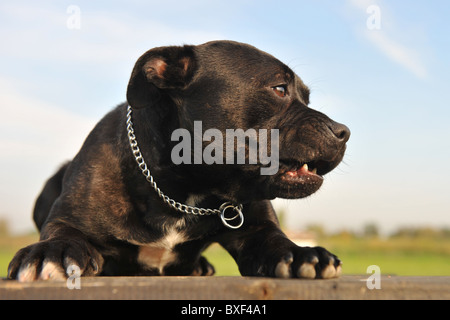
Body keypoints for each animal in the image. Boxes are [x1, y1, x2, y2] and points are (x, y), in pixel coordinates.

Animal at [8, 40, 350, 282]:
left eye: (307, 98)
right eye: (279, 88)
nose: (343, 131)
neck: (185, 192)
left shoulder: (256, 229)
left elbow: (277, 242)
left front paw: (303, 254)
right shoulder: (67, 219)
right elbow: (63, 235)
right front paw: (51, 253)